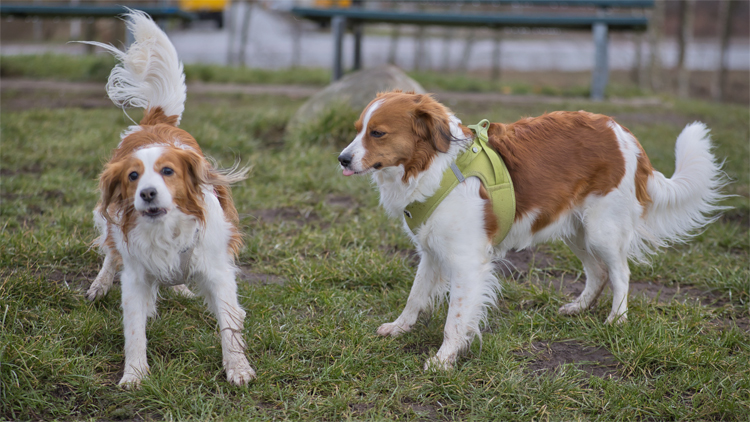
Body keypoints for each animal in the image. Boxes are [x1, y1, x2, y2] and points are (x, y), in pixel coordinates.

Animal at [83, 9, 256, 388]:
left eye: (168, 171)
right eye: (132, 176)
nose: (147, 193)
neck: (166, 229)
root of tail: (155, 122)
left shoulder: (218, 272)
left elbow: (229, 325)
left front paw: (237, 368)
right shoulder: (134, 277)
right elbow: (134, 329)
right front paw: (134, 375)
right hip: (110, 224)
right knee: (110, 252)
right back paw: (100, 286)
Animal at [340, 90, 728, 370]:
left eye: (377, 133)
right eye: (357, 129)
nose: (342, 158)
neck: (432, 166)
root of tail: (622, 132)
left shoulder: (466, 261)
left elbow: (456, 318)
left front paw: (444, 359)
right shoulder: (431, 252)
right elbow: (415, 297)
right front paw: (399, 327)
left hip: (601, 229)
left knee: (620, 273)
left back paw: (616, 319)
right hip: (576, 231)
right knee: (598, 272)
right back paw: (579, 307)